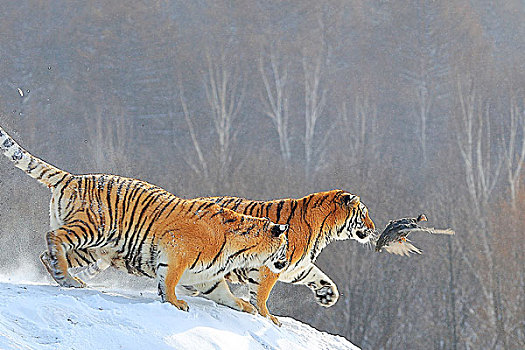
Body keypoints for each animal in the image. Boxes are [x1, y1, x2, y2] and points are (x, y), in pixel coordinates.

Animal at [0, 124, 286, 314]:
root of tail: (72, 177)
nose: (284, 262)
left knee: (46, 253)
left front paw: (243, 306)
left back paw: (67, 278)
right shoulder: (176, 251)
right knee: (54, 237)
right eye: (284, 247)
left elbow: (223, 293)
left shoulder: (207, 276)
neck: (239, 253)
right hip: (93, 227)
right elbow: (169, 280)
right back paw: (66, 277)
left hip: (93, 246)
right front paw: (174, 302)